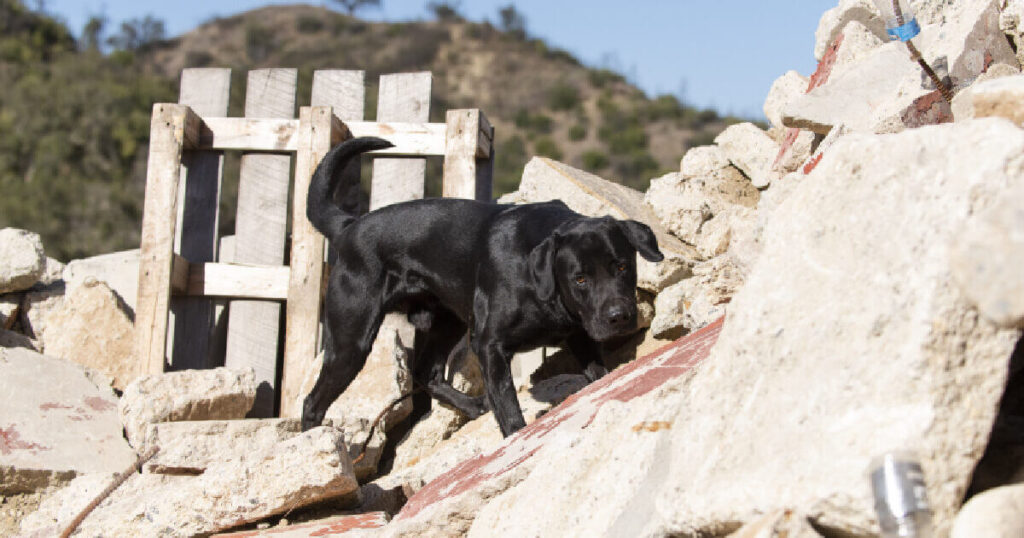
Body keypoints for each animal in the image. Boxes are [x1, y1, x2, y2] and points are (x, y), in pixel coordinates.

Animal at [299, 136, 663, 434]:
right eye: (580, 279)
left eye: (622, 266)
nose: (619, 317)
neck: (540, 286)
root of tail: (348, 226)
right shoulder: (490, 345)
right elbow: (507, 404)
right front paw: (516, 435)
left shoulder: (580, 334)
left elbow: (598, 374)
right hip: (351, 342)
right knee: (312, 402)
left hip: (445, 323)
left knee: (427, 372)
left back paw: (472, 406)